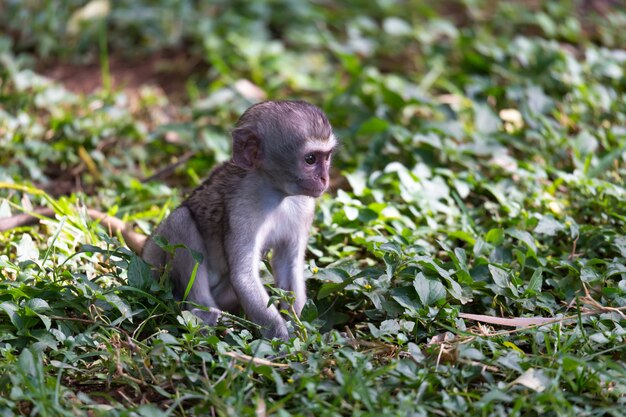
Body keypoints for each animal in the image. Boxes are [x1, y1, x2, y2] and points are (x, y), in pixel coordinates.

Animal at [0, 99, 336, 340]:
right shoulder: (243, 207)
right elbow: (244, 275)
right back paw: (203, 312)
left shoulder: (304, 207)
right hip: (155, 265)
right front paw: (282, 336)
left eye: (327, 157)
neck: (277, 192)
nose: (324, 179)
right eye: (310, 159)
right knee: (181, 222)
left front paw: (298, 324)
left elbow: (288, 265)